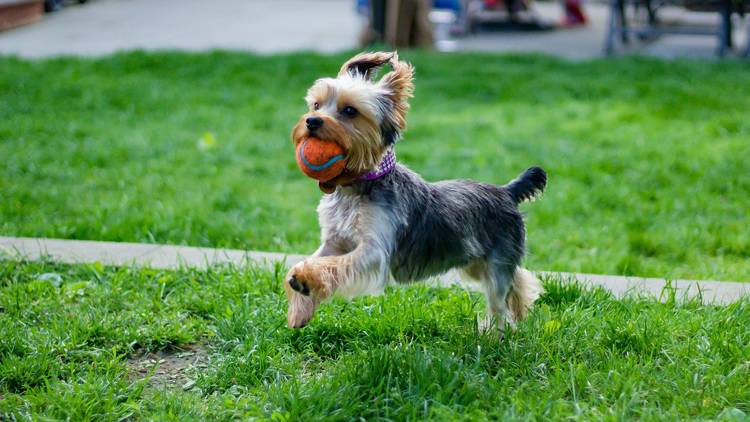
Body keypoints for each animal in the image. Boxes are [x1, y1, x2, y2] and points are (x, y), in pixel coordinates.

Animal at [284, 52, 548, 332]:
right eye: (315, 105)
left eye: (349, 111)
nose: (312, 121)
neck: (356, 184)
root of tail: (507, 192)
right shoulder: (335, 240)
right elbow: (314, 259)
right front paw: (299, 305)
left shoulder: (374, 250)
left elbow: (335, 264)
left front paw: (305, 279)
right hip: (473, 260)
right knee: (518, 280)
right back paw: (522, 307)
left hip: (496, 258)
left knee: (498, 302)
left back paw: (495, 334)